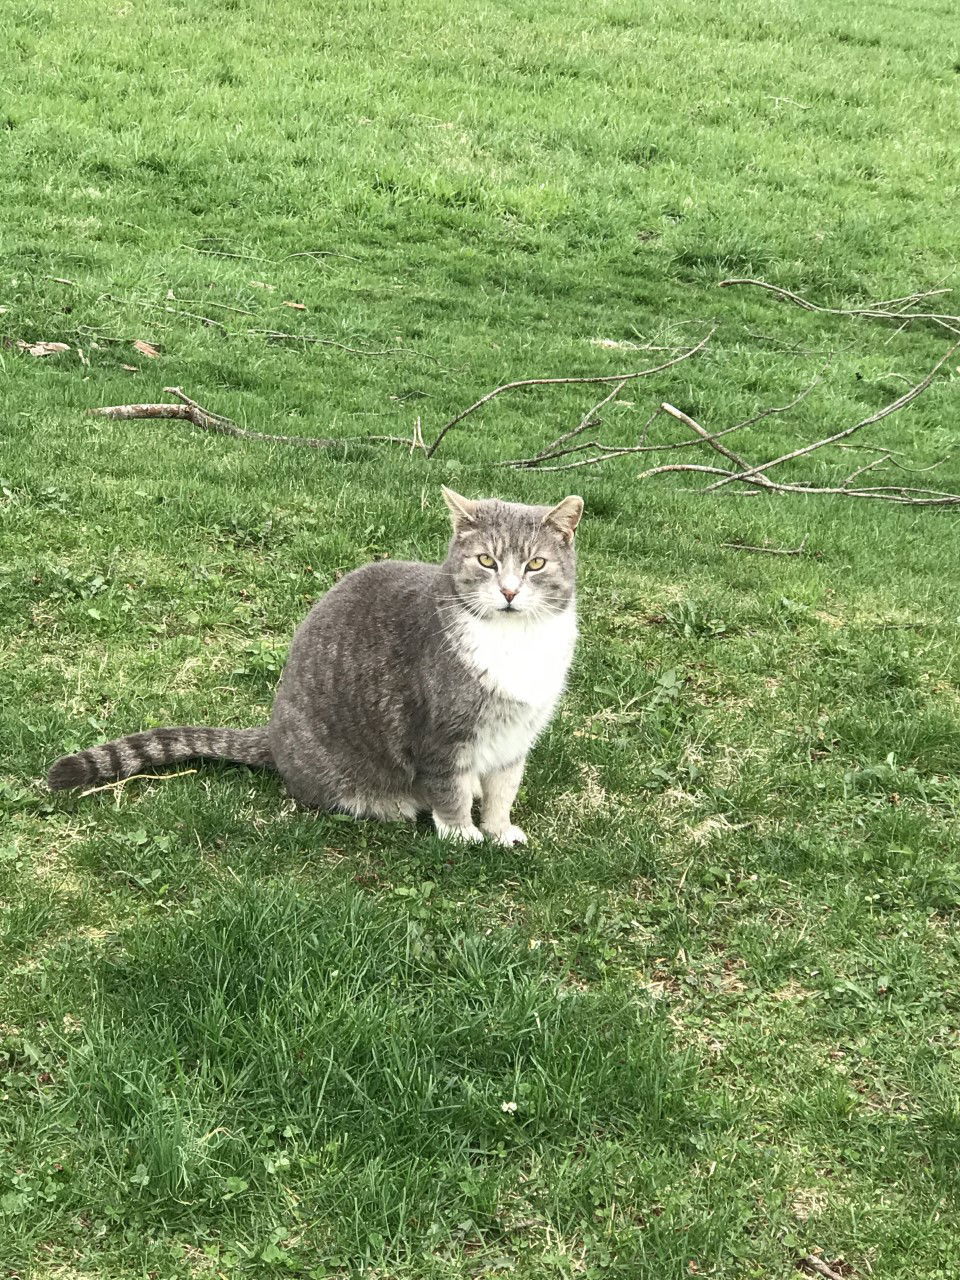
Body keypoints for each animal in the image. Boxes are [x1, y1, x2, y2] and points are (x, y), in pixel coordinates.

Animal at [48, 486, 583, 839]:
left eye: (535, 564)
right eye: (486, 561)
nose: (509, 592)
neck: (515, 643)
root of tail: (273, 736)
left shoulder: (515, 737)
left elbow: (503, 791)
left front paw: (500, 830)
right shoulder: (441, 736)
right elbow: (448, 791)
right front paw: (462, 834)